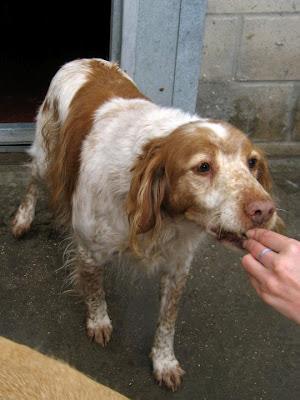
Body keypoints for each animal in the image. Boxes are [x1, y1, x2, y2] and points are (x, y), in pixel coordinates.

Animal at [11, 58, 284, 390]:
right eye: (203, 167)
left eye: (252, 163)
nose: (264, 210)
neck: (165, 218)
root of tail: (84, 60)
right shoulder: (90, 251)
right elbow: (95, 291)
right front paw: (99, 321)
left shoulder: (178, 267)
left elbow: (167, 322)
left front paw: (164, 362)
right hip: (45, 154)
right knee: (33, 181)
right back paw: (22, 219)